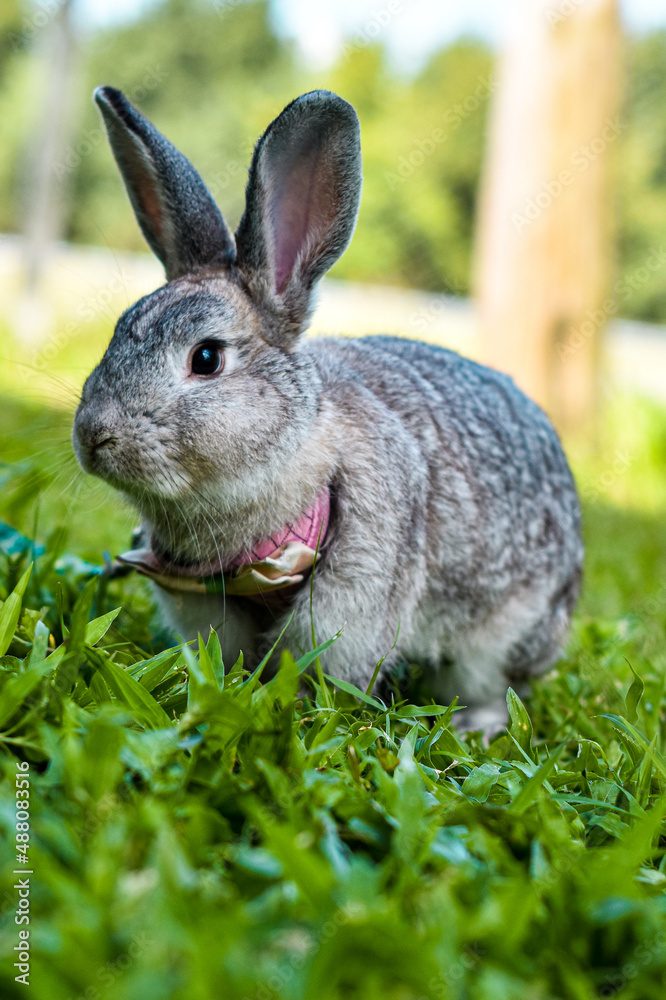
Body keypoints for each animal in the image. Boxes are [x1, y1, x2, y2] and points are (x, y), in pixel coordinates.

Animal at [73, 86, 583, 734]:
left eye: (206, 358)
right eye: (116, 334)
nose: (94, 436)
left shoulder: (354, 590)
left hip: (502, 634)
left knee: (493, 683)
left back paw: (476, 724)